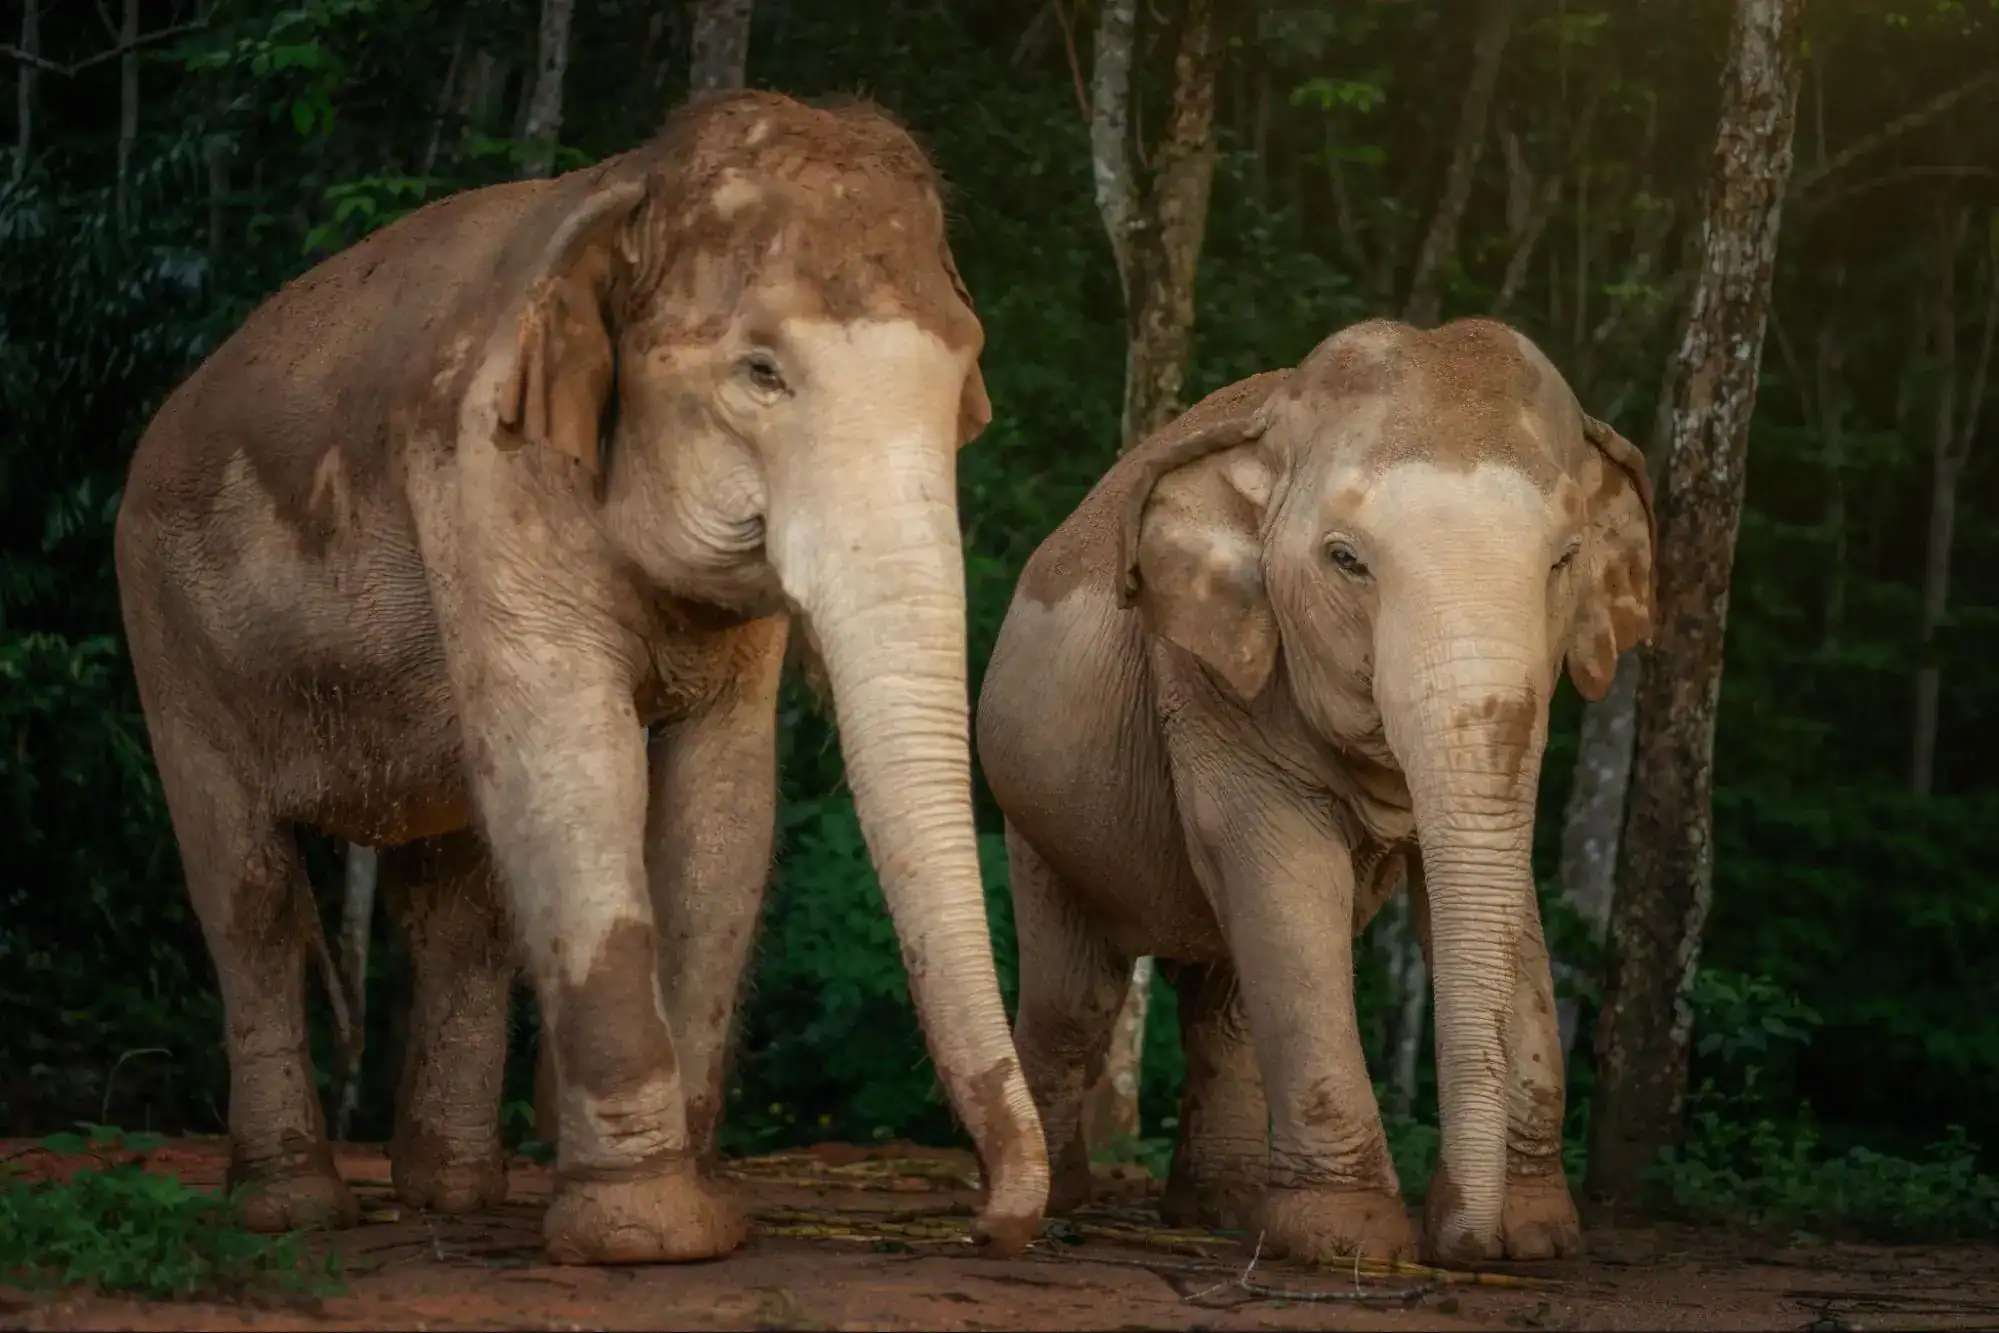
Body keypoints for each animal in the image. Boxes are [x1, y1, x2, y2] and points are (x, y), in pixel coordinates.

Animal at [113, 88, 1049, 1265]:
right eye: (762, 371)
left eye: (962, 372)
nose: (988, 1219)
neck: (631, 186)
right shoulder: (488, 466)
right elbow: (576, 769)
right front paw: (643, 1236)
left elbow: (724, 807)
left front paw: (698, 1215)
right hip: (167, 629)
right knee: (250, 892)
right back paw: (293, 1208)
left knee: (458, 901)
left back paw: (455, 1197)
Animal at [975, 317, 1654, 1266]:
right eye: (1345, 560)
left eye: (1563, 559)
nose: (1461, 1239)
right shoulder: (1203, 674)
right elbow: (1290, 881)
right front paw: (1350, 1242)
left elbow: (1505, 899)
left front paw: (1537, 1237)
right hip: (1033, 805)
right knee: (1078, 994)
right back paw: (1062, 1199)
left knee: (1220, 1003)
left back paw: (1218, 1208)